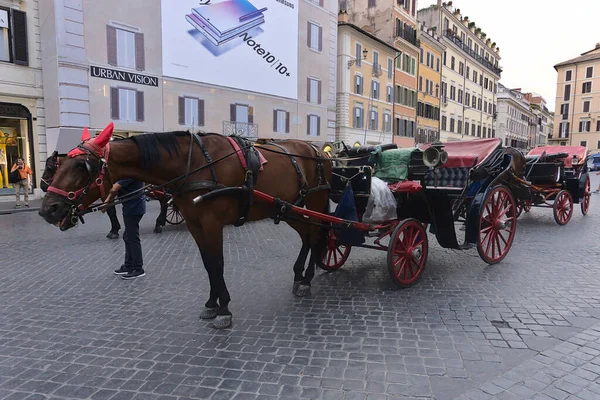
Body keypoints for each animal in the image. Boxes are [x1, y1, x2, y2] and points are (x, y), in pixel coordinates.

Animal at [38, 123, 332, 330]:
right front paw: (212, 304)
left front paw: (224, 309)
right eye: (60, 164)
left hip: (314, 202)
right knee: (308, 236)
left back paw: (306, 278)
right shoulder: (194, 223)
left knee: (317, 233)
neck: (194, 164)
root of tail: (318, 152)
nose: (47, 209)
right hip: (289, 208)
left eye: (82, 165)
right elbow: (208, 264)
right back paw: (299, 275)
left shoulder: (212, 223)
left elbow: (217, 263)